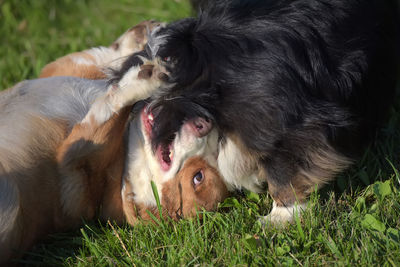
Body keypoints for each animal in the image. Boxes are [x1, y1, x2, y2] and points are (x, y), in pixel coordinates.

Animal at [0, 23, 228, 264]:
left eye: (197, 177)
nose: (206, 124)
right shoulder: (62, 68)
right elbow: (101, 58)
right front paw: (145, 36)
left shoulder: (74, 152)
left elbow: (113, 107)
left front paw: (144, 79)